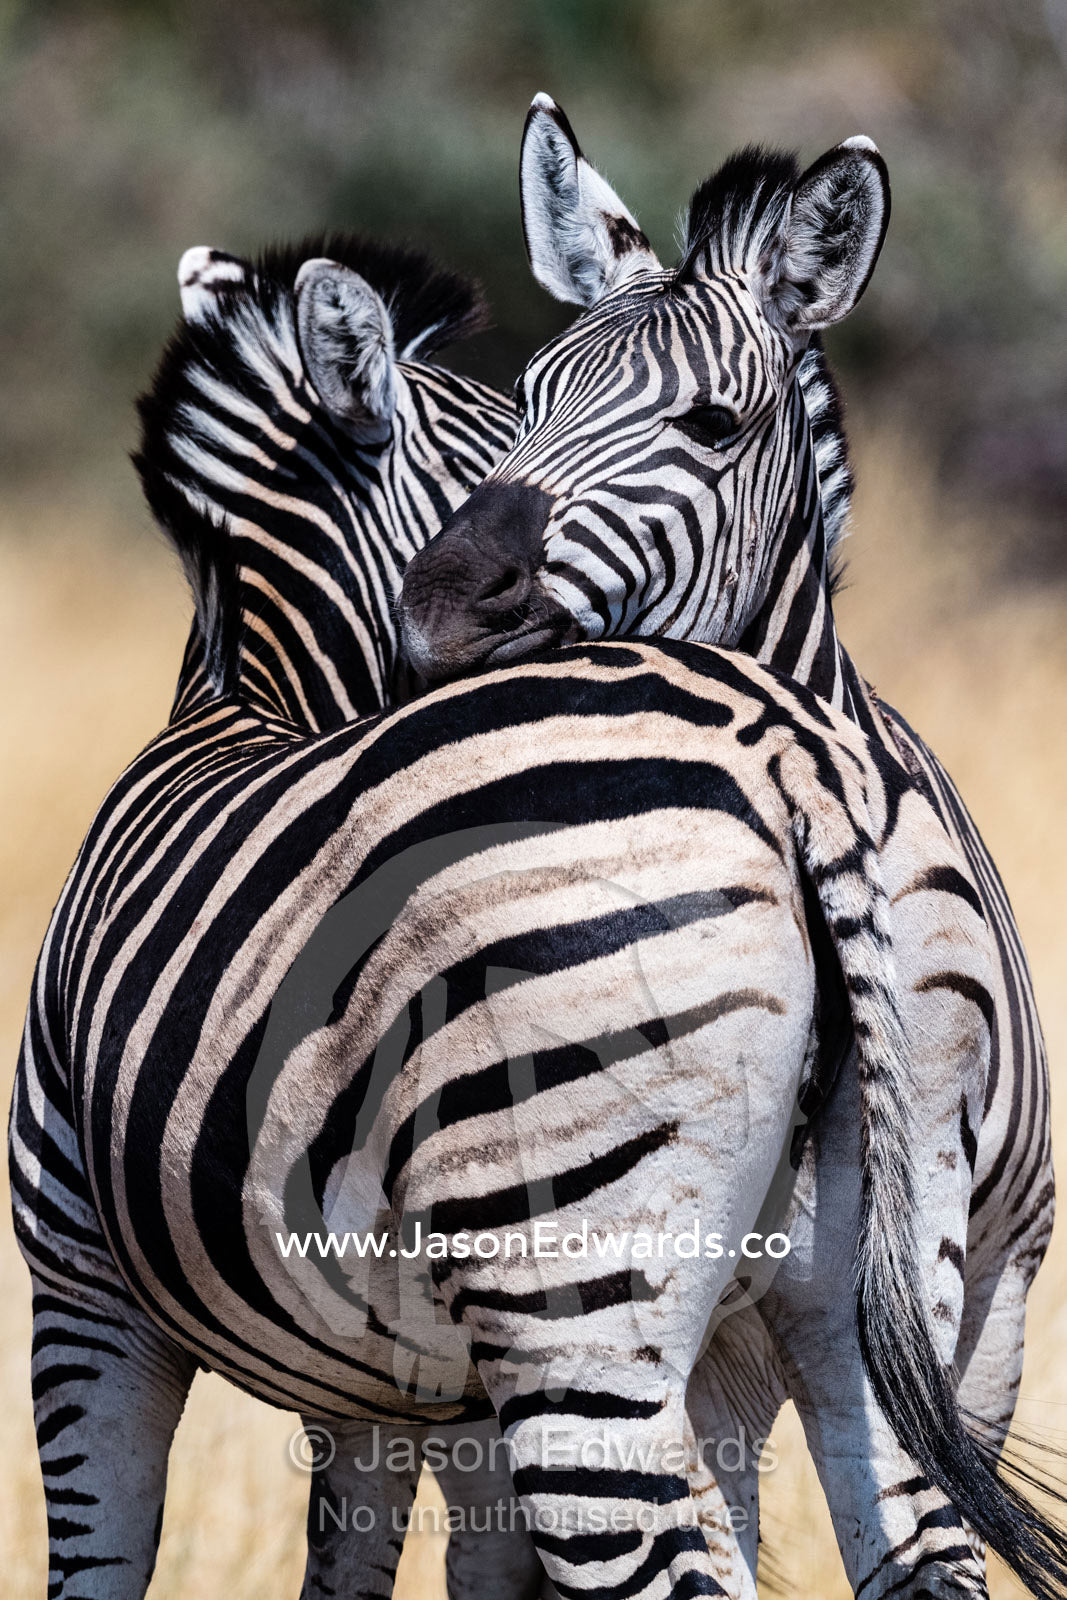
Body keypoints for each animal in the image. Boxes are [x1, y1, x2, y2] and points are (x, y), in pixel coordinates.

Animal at [7, 227, 1033, 1600]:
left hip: (572, 1279)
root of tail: (784, 754)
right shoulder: (413, 1382)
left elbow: (105, 1560)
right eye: (516, 421)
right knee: (917, 1540)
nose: (466, 603)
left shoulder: (79, 1287)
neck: (253, 699)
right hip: (890, 1246)